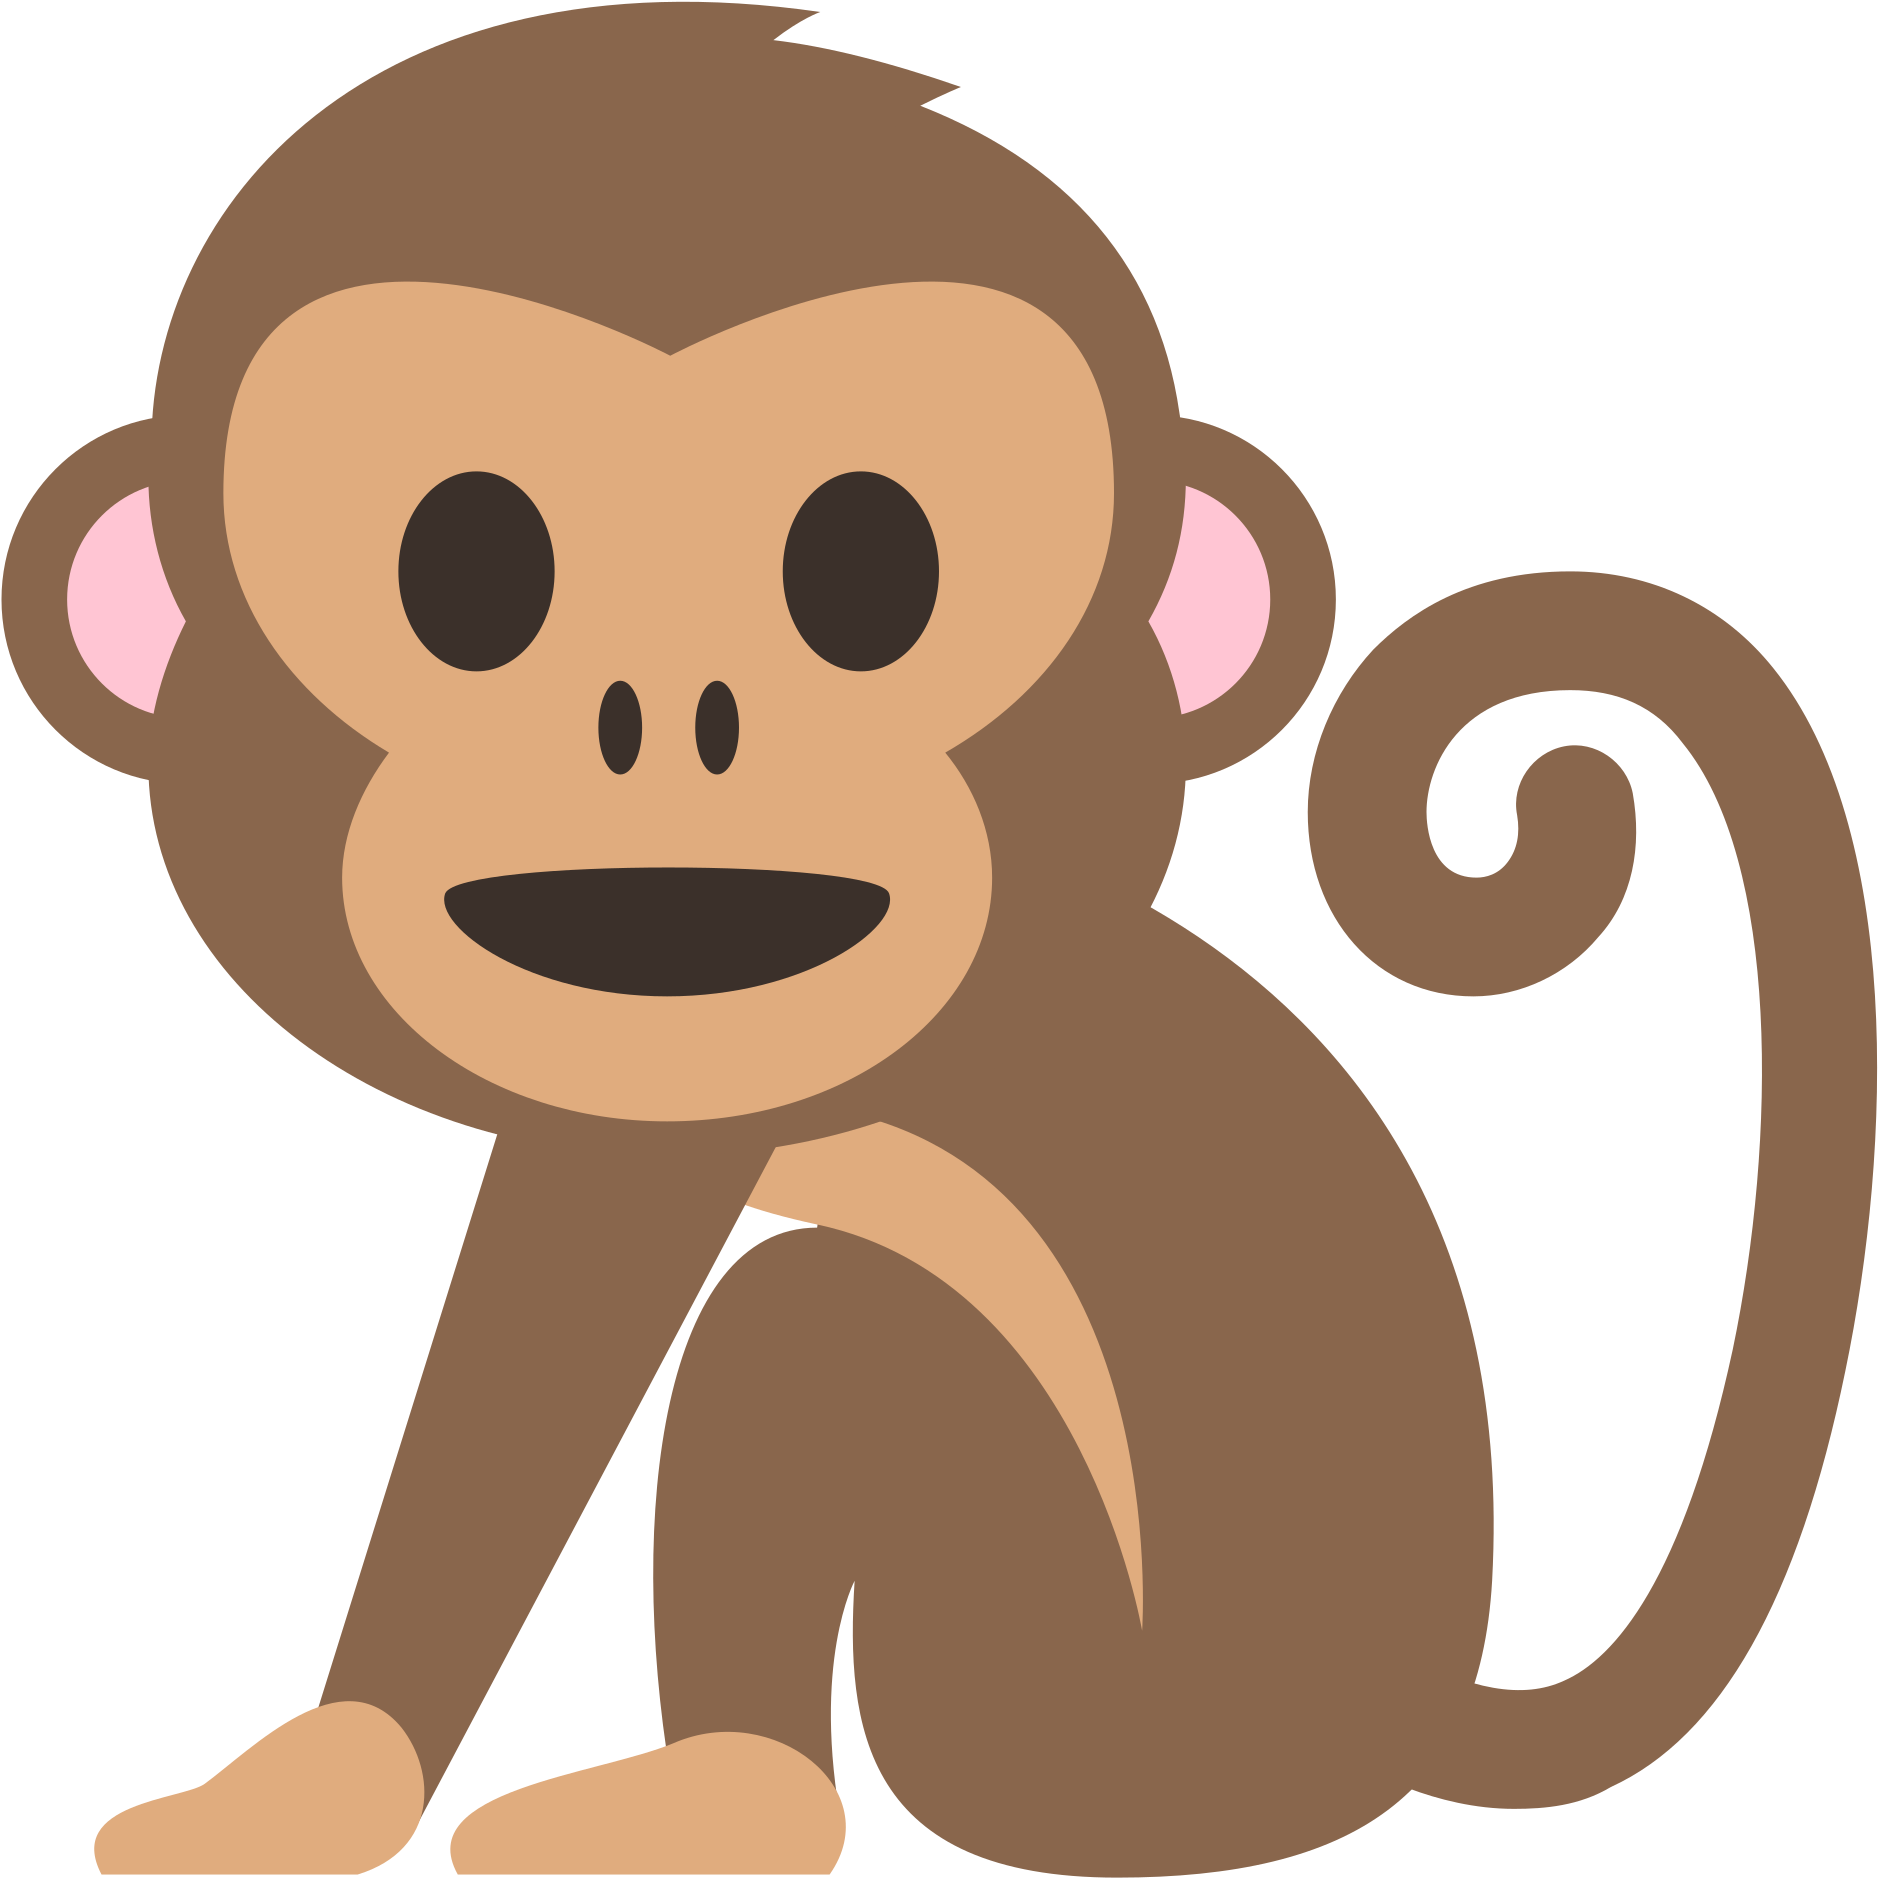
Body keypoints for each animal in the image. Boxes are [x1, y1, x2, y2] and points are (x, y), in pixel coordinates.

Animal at [4, 8, 1867, 1876]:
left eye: (869, 564)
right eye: (462, 563)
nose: (668, 716)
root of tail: (1412, 1709)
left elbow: (574, 1326)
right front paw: (314, 1775)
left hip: (1092, 1709)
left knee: (815, 1319)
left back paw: (734, 1796)